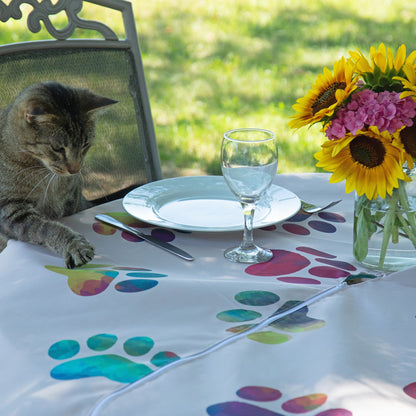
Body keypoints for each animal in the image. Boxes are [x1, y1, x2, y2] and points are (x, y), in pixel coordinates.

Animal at [0, 81, 115, 268]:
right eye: (58, 148)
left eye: (85, 145)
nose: (75, 169)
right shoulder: (10, 211)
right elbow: (47, 228)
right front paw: (74, 245)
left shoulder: (72, 202)